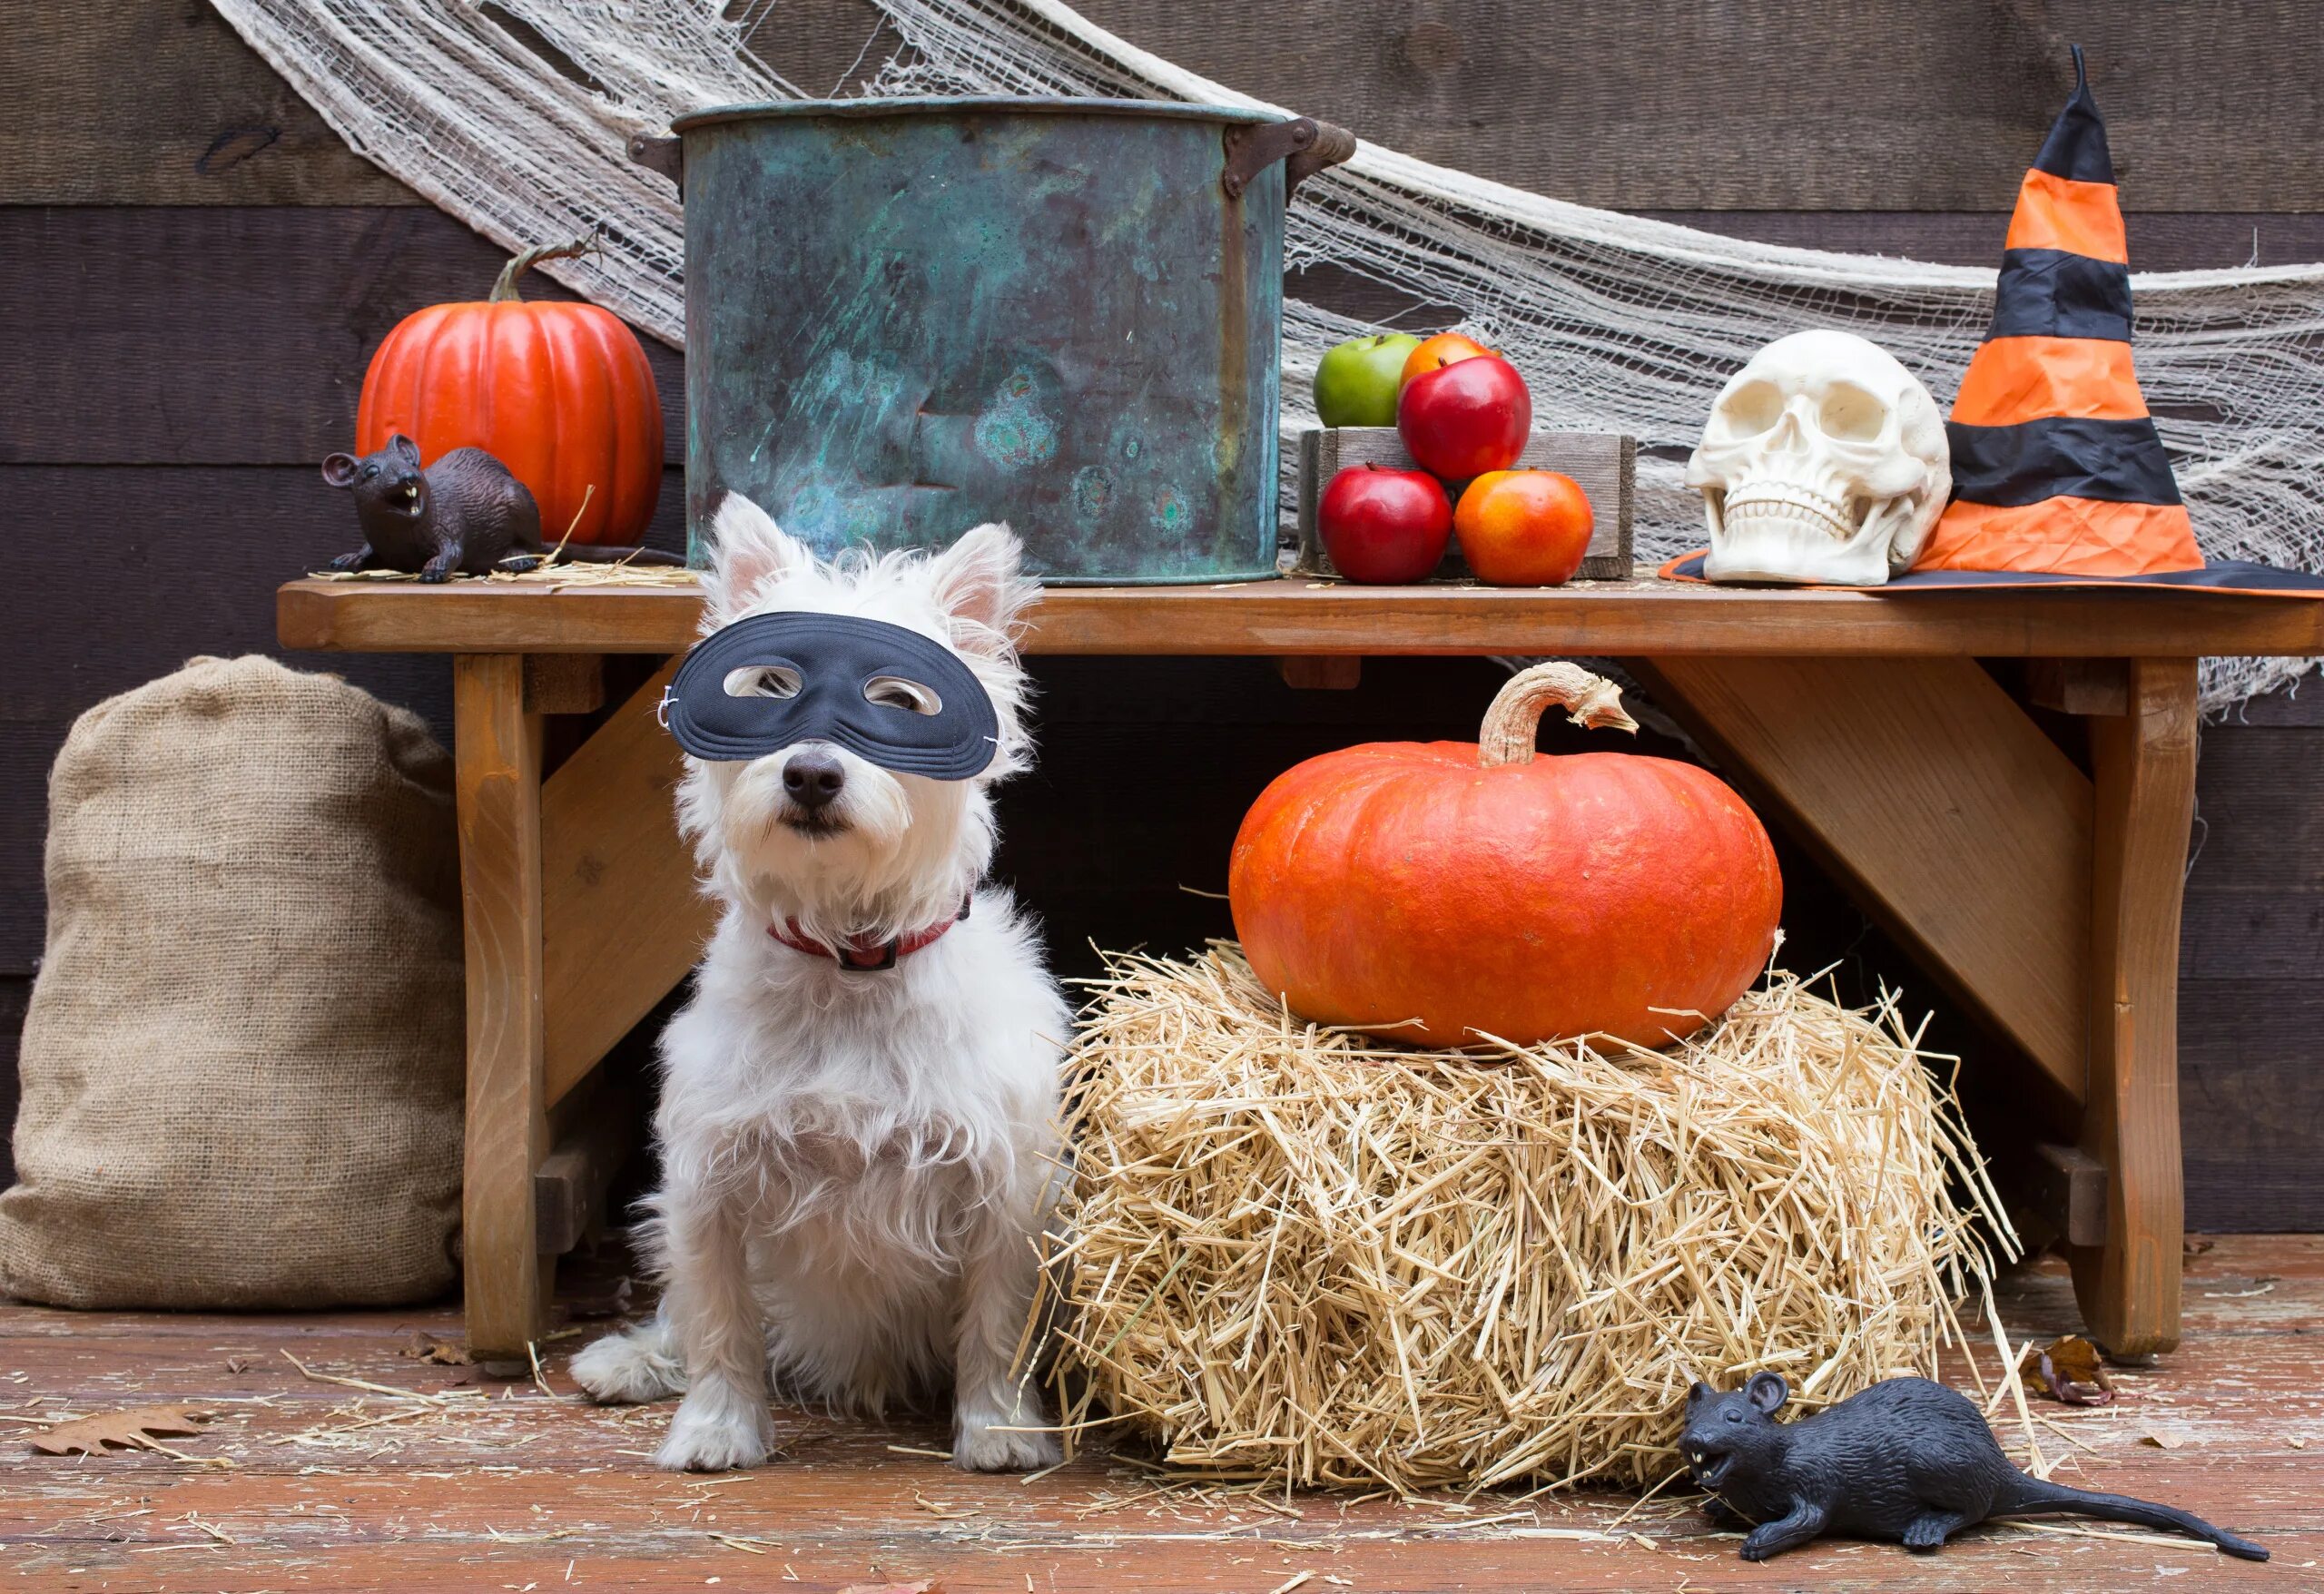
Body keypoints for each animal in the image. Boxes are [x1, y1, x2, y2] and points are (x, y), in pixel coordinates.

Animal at [571, 492, 1064, 1478]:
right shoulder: (709, 1178)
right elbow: (721, 1321)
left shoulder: (1004, 1182)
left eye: (899, 702)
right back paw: (630, 1360)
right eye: (767, 687)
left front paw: (999, 1429)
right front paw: (715, 1431)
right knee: (679, 1316)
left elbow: (999, 1321)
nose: (810, 771)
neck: (848, 962)